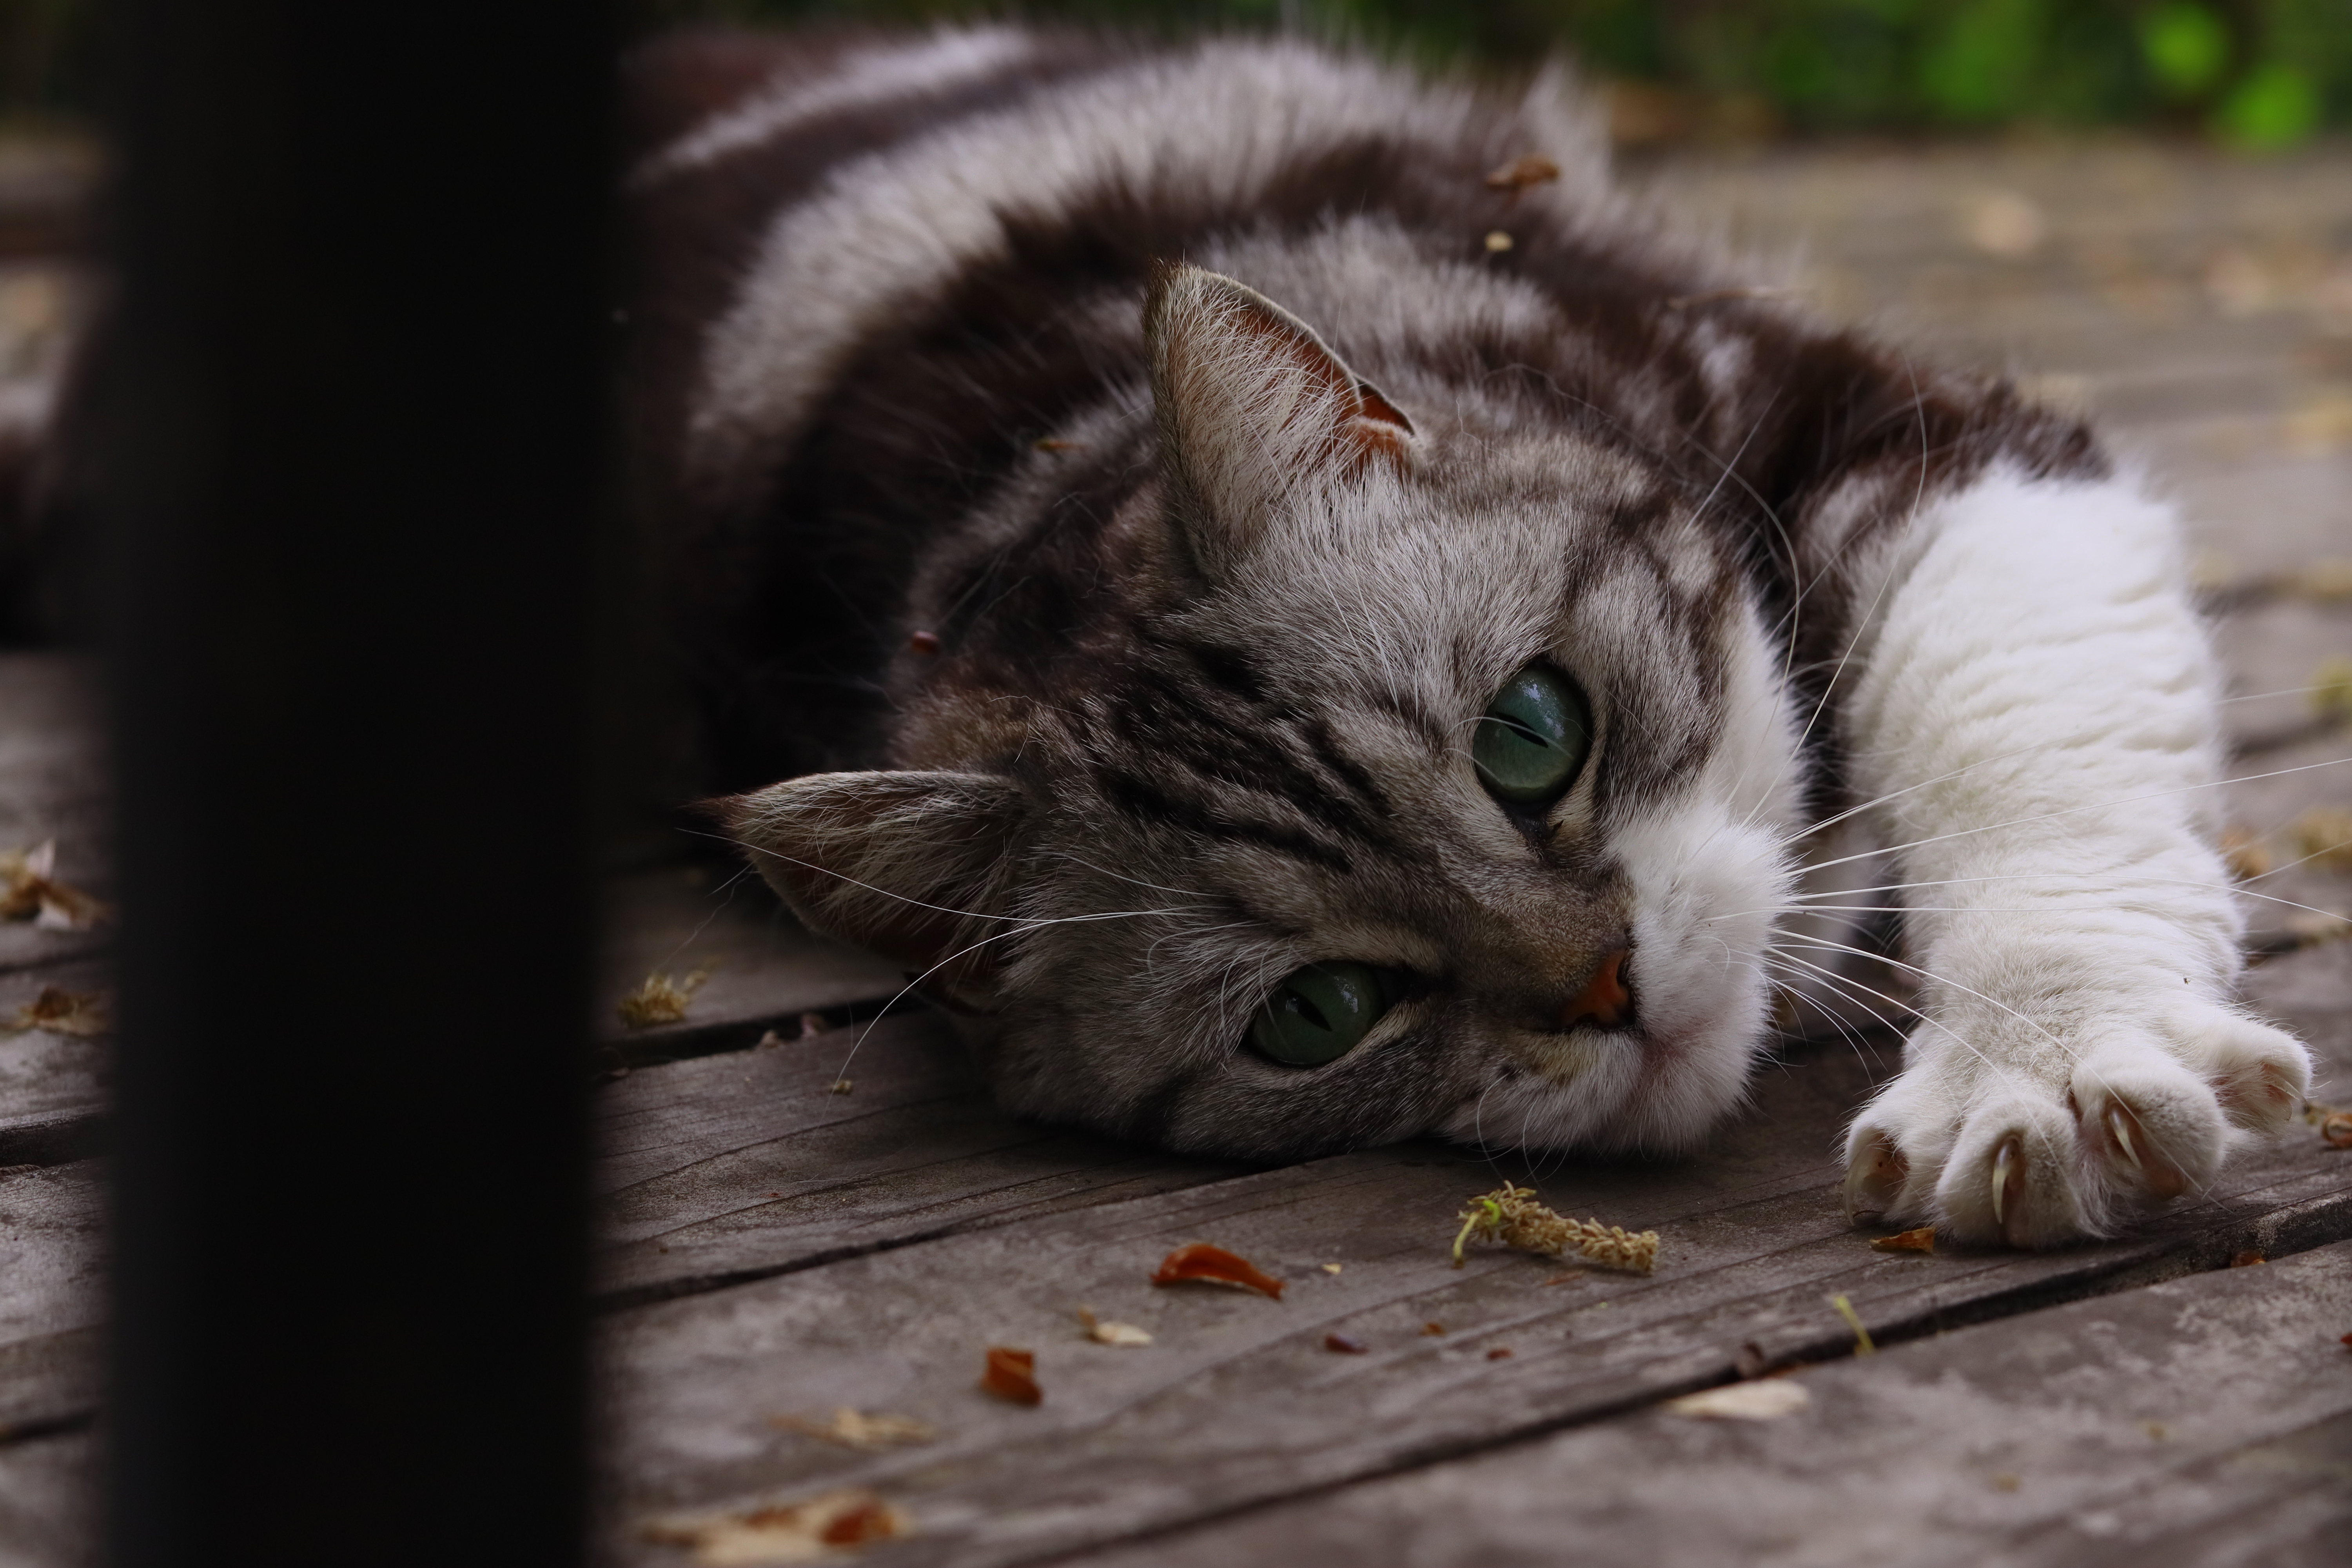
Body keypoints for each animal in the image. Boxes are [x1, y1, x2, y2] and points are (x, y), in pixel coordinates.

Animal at [616, 24, 2305, 1250]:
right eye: (1315, 1017)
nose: (1606, 991)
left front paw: (2051, 1048)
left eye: (1530, 734)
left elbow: (2012, 726)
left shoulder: (1931, 438)